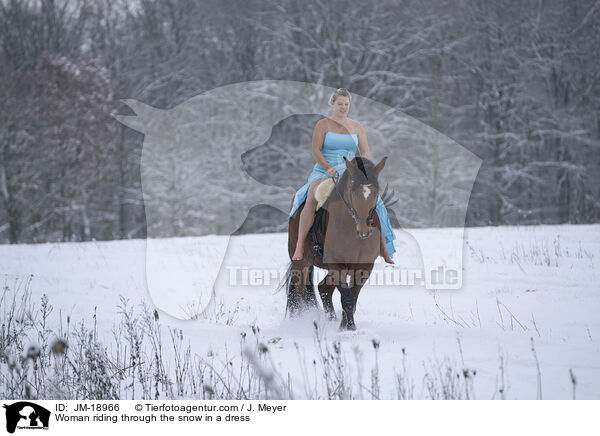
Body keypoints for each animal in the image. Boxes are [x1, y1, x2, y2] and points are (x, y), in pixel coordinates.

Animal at [286, 157, 390, 330]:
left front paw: (344, 327)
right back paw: (297, 323)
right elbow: (347, 299)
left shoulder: (364, 267)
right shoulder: (337, 265)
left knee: (323, 288)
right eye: (353, 192)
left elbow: (352, 298)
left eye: (376, 192)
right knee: (298, 294)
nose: (364, 230)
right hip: (300, 263)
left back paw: (331, 319)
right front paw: (350, 329)